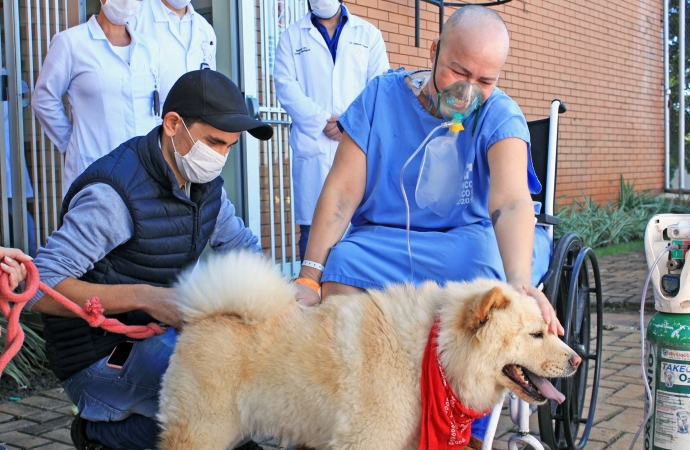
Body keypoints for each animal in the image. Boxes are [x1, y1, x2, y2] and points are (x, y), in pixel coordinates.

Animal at [157, 251, 580, 448]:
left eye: (550, 330)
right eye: (536, 335)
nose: (577, 359)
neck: (433, 353)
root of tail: (203, 316)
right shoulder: (366, 440)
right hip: (203, 432)